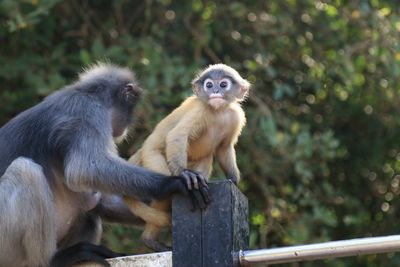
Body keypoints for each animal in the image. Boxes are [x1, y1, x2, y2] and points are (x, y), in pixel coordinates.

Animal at [0, 63, 209, 267]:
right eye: (131, 109)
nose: (128, 124)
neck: (86, 92)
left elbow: (100, 198)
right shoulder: (88, 111)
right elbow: (83, 169)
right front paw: (173, 183)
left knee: (88, 209)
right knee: (25, 169)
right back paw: (54, 260)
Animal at [125, 63, 250, 252]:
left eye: (223, 84)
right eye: (209, 85)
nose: (215, 91)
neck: (218, 111)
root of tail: (141, 151)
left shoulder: (235, 116)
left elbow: (224, 148)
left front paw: (233, 180)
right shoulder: (200, 109)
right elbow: (177, 135)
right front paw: (185, 174)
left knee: (205, 159)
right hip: (152, 159)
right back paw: (149, 239)